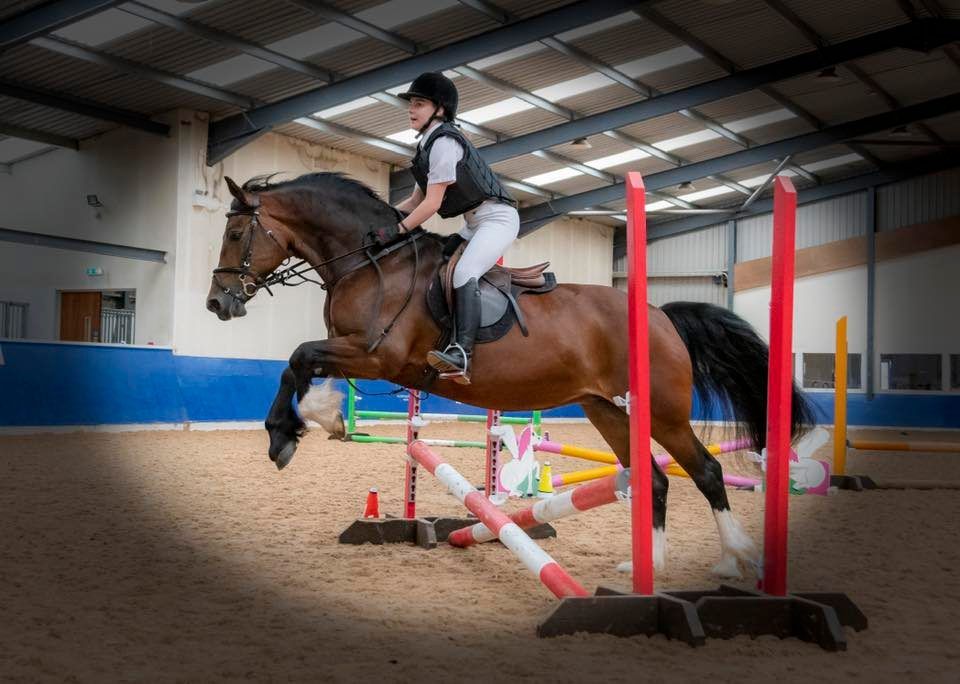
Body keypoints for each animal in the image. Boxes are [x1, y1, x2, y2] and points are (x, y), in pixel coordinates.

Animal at [206, 174, 812, 580]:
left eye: (235, 233)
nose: (217, 302)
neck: (370, 262)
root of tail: (660, 314)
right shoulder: (360, 355)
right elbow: (302, 364)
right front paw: (319, 420)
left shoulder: (378, 357)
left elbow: (297, 359)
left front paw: (287, 434)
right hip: (606, 409)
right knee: (655, 480)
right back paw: (648, 568)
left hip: (661, 412)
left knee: (705, 472)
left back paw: (731, 562)